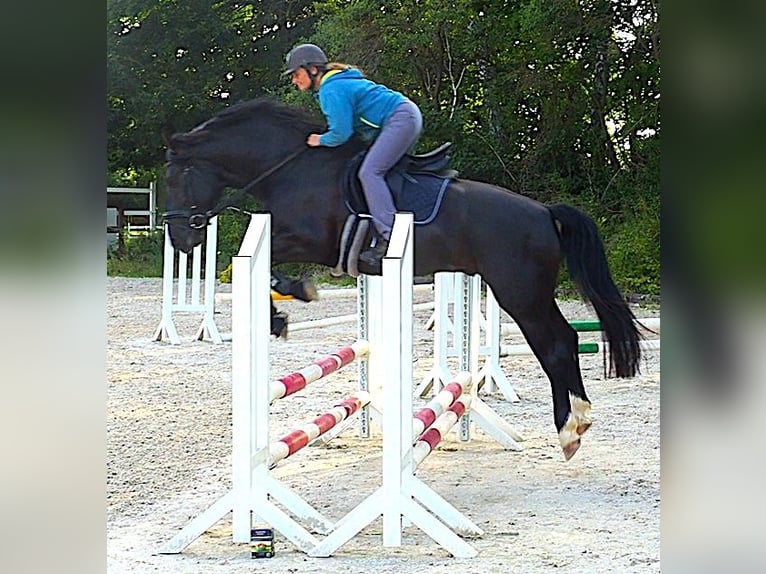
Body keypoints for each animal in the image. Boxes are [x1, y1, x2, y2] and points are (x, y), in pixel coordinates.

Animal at [162, 97, 642, 460]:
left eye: (177, 176)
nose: (181, 239)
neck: (290, 167)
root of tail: (544, 212)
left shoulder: (307, 238)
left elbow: (266, 264)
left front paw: (284, 309)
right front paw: (290, 302)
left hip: (521, 294)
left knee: (557, 344)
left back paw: (570, 428)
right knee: (561, 342)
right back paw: (576, 423)